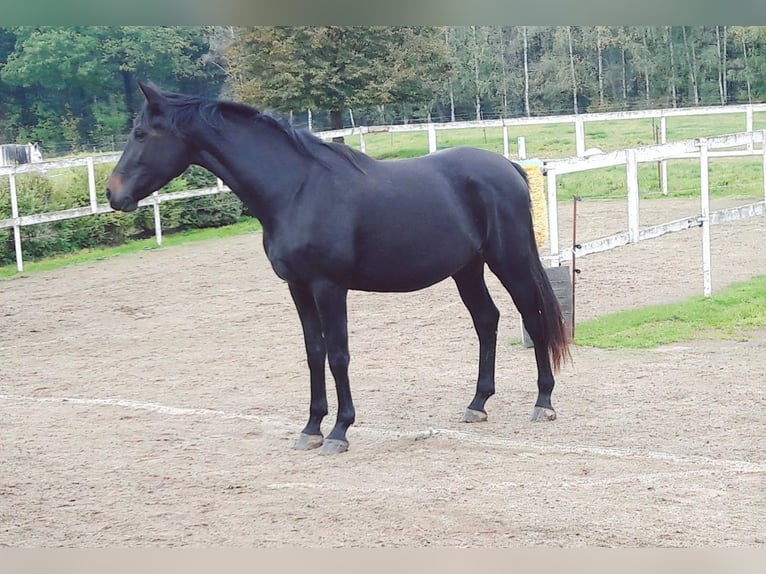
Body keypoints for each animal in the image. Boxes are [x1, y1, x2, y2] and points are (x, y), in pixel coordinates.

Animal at [108, 83, 568, 456]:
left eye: (140, 133)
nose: (114, 194)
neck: (296, 189)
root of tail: (507, 167)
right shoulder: (297, 287)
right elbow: (314, 353)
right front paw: (311, 427)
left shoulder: (329, 288)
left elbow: (338, 354)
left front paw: (339, 431)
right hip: (466, 268)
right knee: (486, 320)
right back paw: (477, 404)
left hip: (508, 260)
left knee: (531, 317)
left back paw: (543, 402)